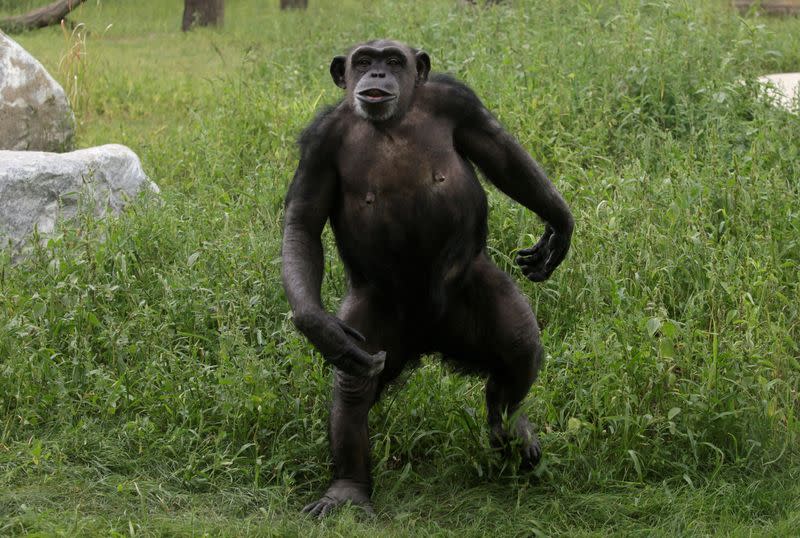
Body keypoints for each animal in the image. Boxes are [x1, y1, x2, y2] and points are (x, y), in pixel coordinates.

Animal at [282, 38, 576, 516]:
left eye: (393, 60)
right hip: (374, 316)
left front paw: (560, 225)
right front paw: (315, 324)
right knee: (353, 387)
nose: (377, 74)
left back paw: (510, 422)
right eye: (363, 60)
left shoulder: (459, 103)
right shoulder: (319, 143)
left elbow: (503, 156)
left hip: (474, 288)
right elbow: (303, 223)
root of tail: (429, 339)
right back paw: (347, 488)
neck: (392, 122)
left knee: (519, 348)